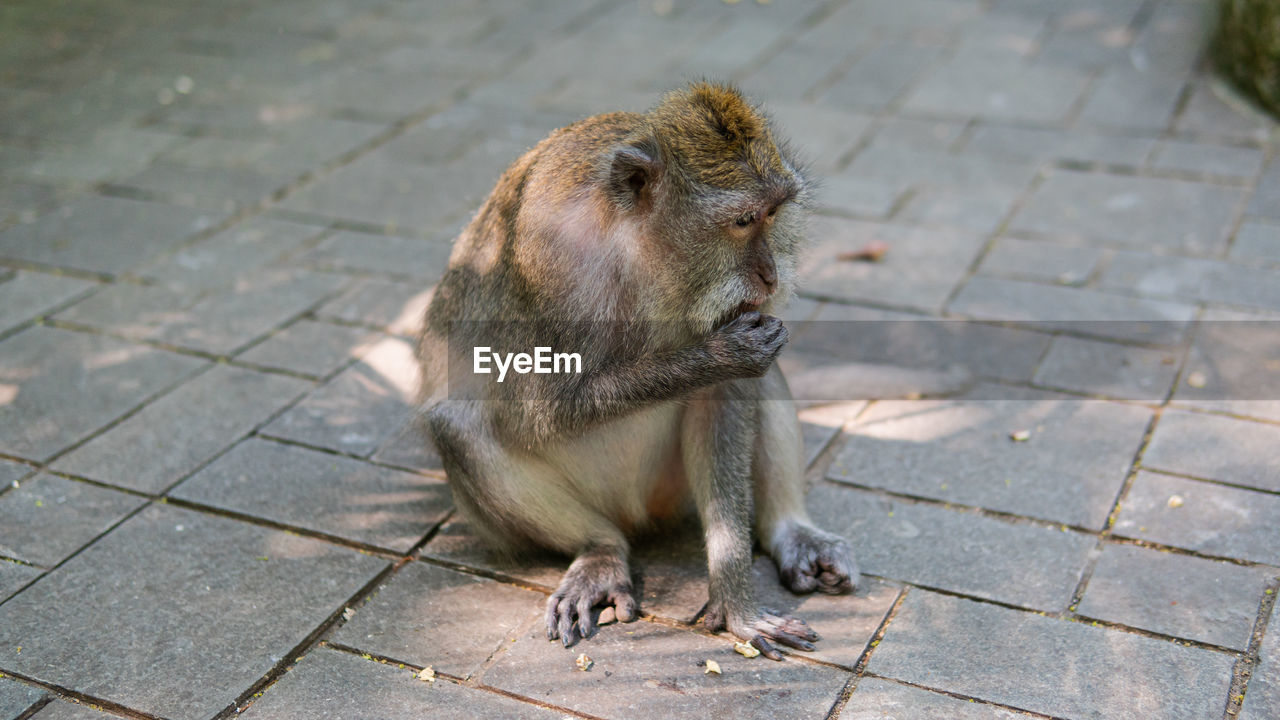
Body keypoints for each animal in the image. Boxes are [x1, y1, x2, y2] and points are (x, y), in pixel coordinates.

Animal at [419, 79, 855, 655]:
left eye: (775, 213)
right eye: (743, 221)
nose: (770, 275)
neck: (637, 253)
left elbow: (729, 395)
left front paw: (735, 598)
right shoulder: (546, 268)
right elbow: (537, 411)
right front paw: (721, 356)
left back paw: (790, 531)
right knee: (459, 425)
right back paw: (600, 551)